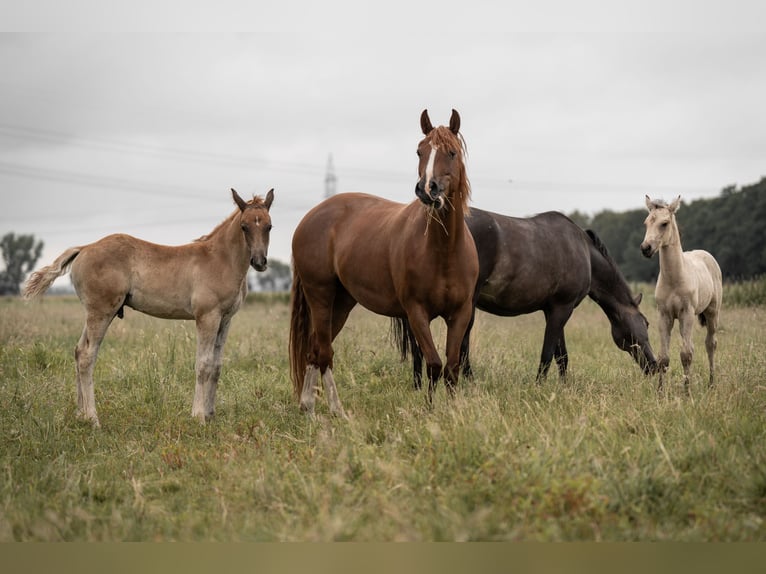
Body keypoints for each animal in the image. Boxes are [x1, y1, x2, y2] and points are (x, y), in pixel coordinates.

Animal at [22, 188, 275, 427]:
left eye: (269, 226)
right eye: (244, 227)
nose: (259, 262)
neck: (220, 259)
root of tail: (84, 248)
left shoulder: (225, 319)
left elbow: (216, 366)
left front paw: (211, 415)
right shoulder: (207, 317)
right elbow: (203, 365)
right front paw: (198, 417)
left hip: (95, 313)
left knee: (78, 351)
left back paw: (80, 415)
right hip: (101, 312)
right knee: (86, 355)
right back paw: (93, 419)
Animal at [289, 109, 479, 415]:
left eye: (451, 152)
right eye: (419, 151)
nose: (427, 190)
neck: (444, 251)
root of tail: (310, 217)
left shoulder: (460, 314)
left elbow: (451, 367)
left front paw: (452, 410)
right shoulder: (416, 312)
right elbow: (434, 364)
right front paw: (430, 410)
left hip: (341, 303)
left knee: (315, 349)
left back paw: (308, 408)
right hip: (321, 296)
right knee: (324, 353)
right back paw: (337, 411)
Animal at [393, 208, 657, 386]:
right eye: (646, 323)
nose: (654, 366)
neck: (583, 251)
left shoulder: (554, 310)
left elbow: (562, 355)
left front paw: (564, 387)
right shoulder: (562, 309)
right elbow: (548, 353)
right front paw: (539, 385)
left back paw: (419, 382)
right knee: (461, 345)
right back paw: (469, 383)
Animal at [640, 195, 722, 392]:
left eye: (664, 223)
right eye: (646, 223)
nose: (646, 248)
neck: (674, 279)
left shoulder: (687, 314)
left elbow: (686, 355)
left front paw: (686, 391)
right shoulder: (664, 315)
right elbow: (663, 357)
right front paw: (660, 392)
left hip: (712, 313)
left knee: (710, 344)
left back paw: (711, 383)